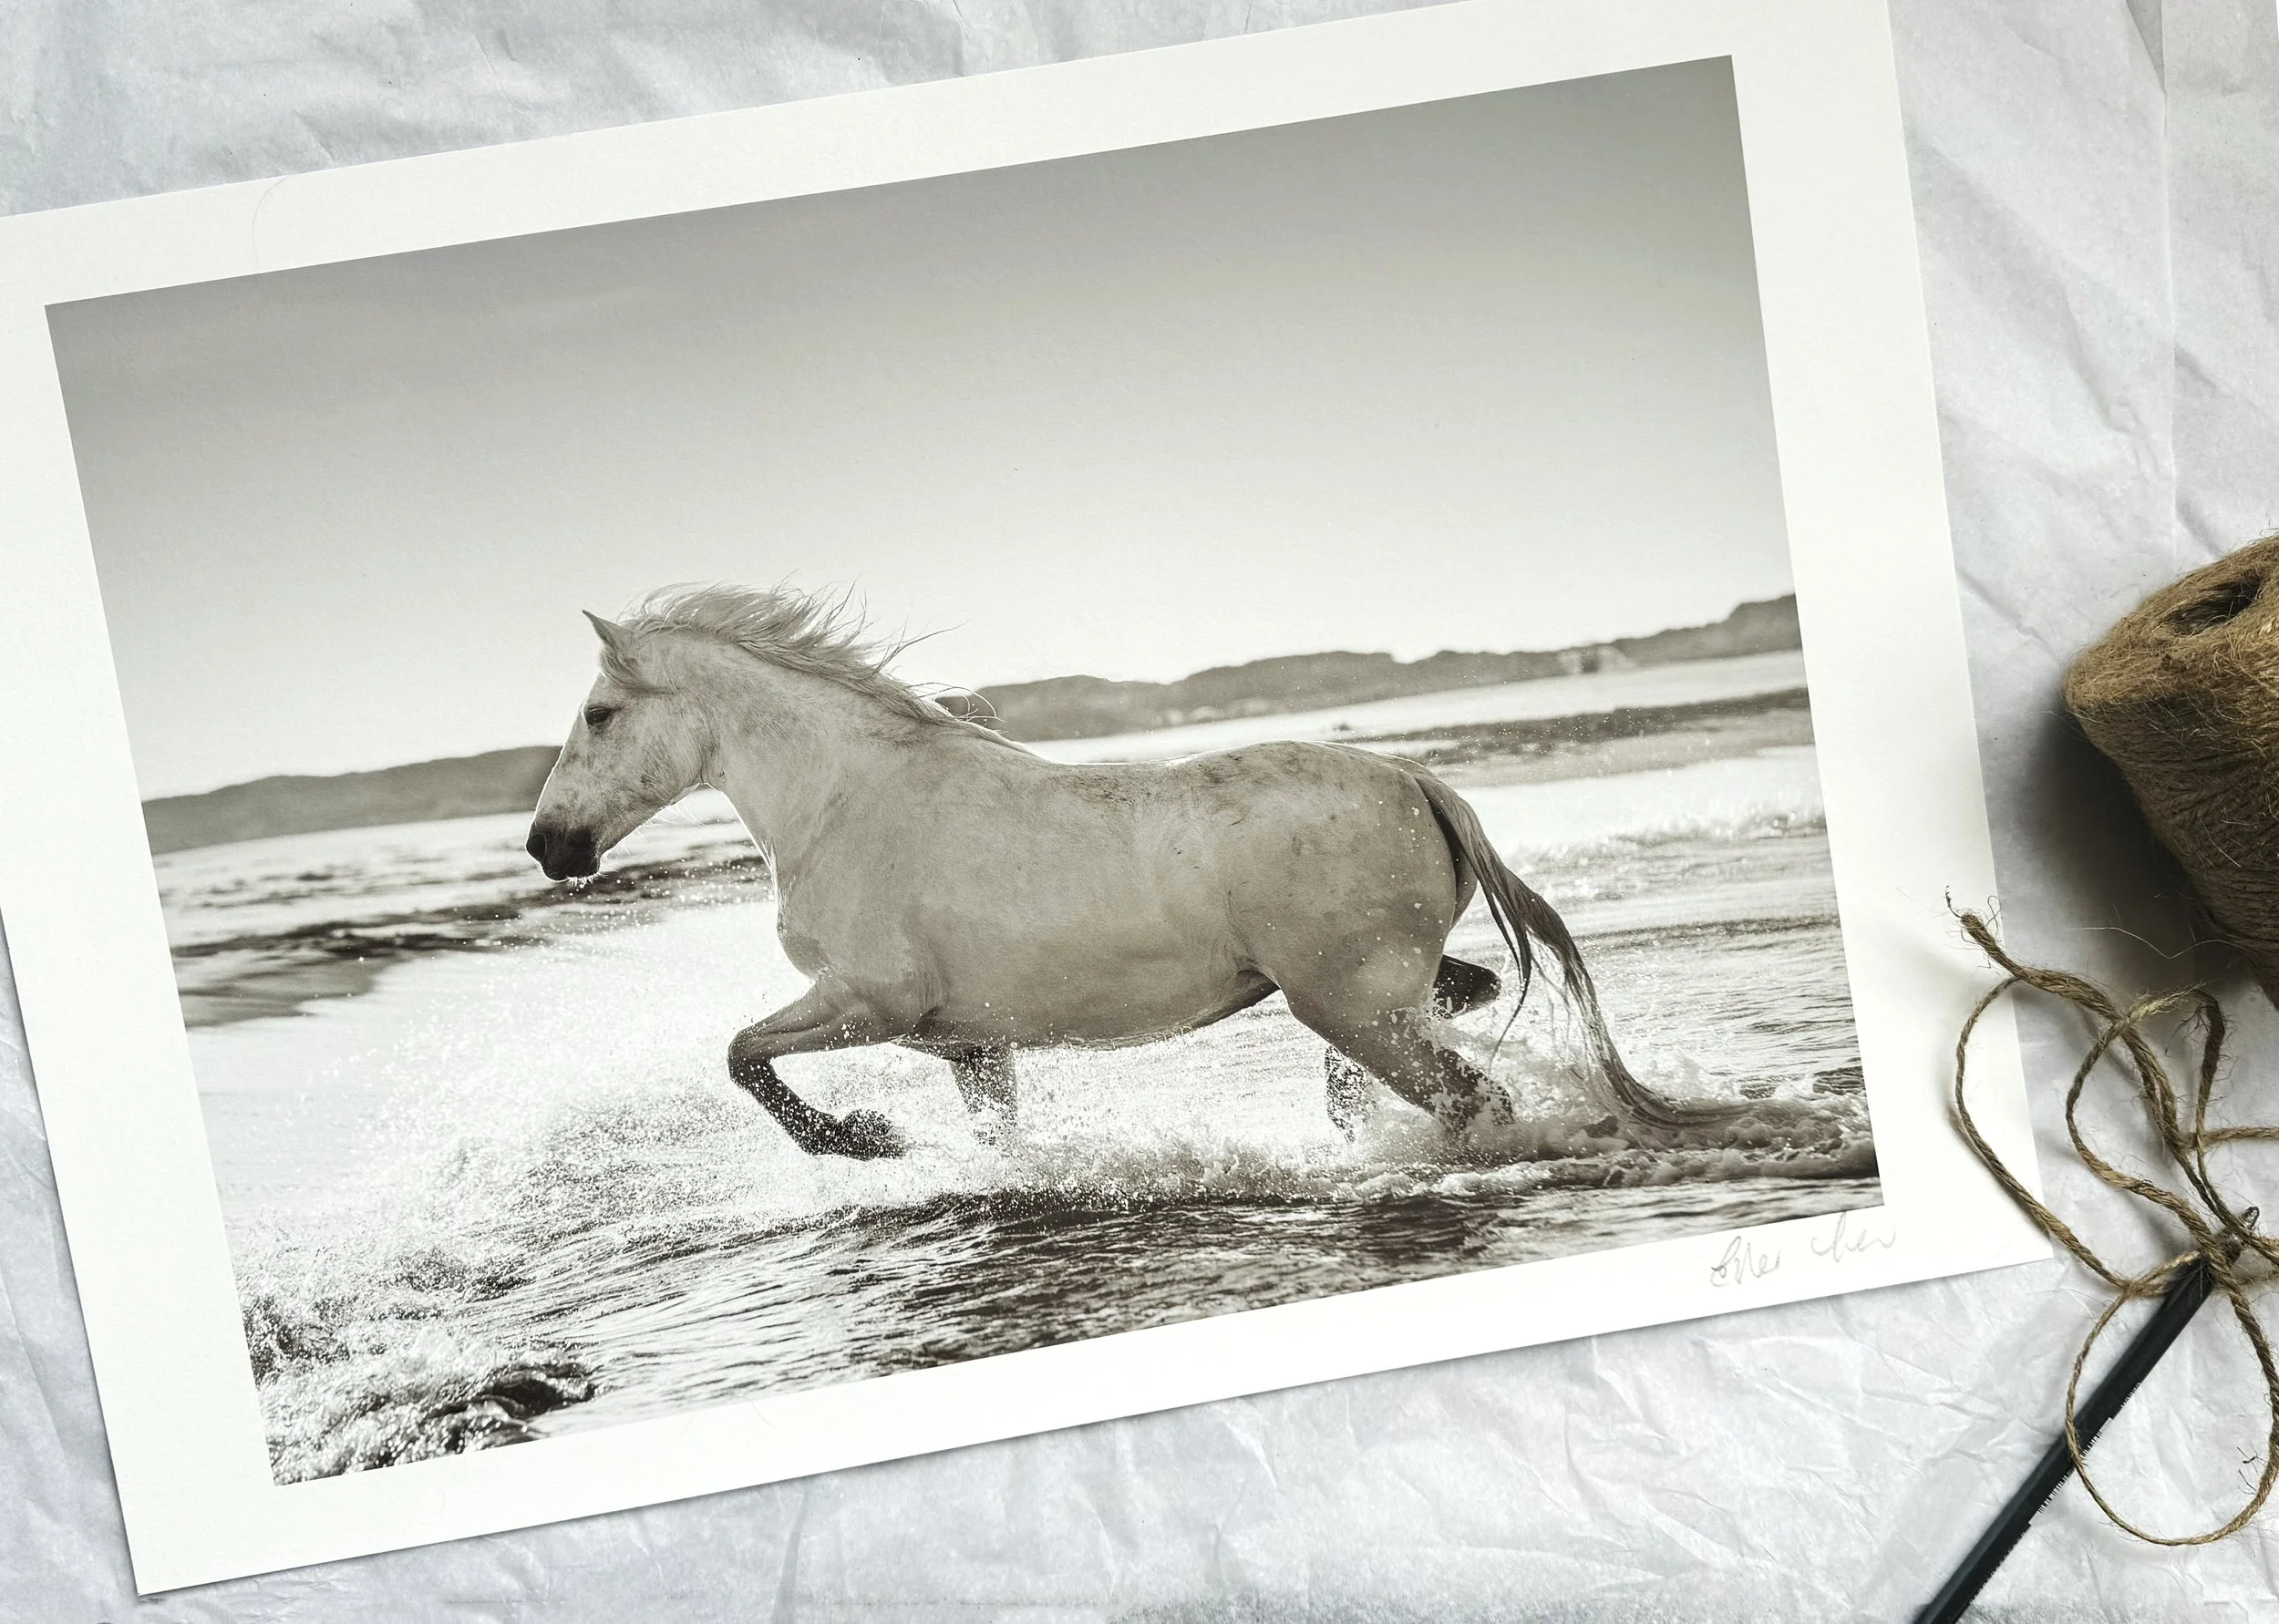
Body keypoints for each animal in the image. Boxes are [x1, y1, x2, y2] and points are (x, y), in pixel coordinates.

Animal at [524, 583, 1729, 1159]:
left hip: (1345, 1002)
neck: (842, 802)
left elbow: (739, 1055)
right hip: (1363, 997)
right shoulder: (967, 1039)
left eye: (599, 713)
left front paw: (860, 1142)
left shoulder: (871, 1002)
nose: (548, 847)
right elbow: (998, 1136)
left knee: (1472, 1094)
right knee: (1458, 1008)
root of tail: (1413, 775)